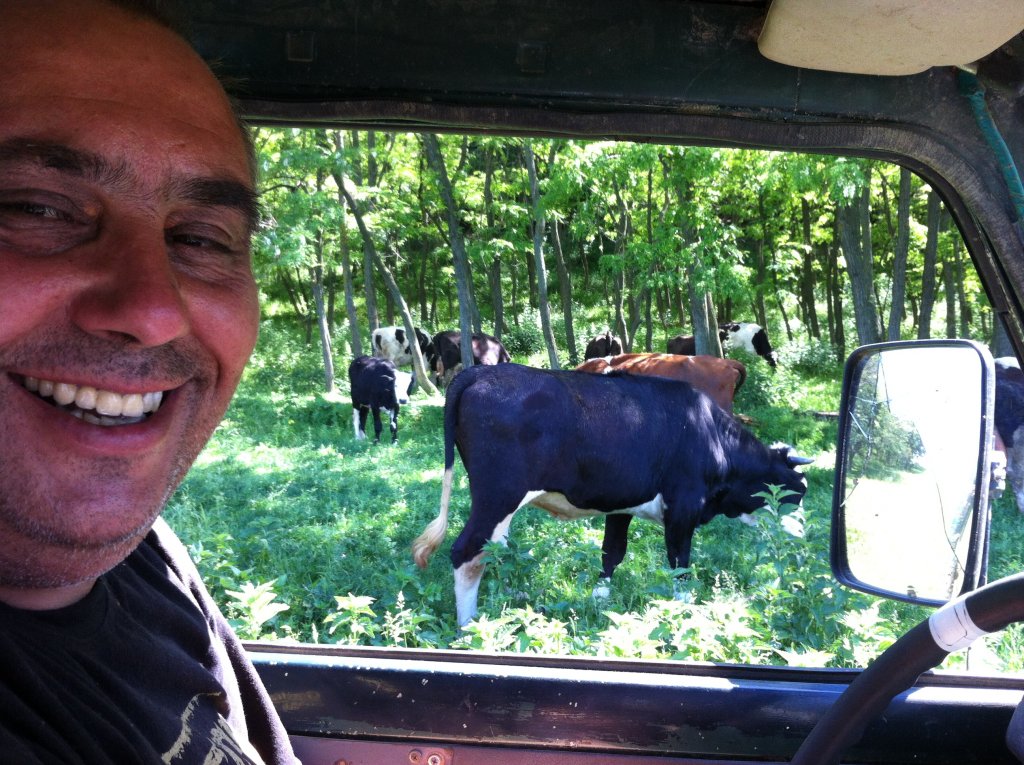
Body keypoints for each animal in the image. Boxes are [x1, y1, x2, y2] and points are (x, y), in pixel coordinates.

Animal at [411, 363, 811, 626]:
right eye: (797, 493)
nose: (803, 536)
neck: (711, 436)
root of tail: (479, 372)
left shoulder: (622, 505)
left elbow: (612, 553)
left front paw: (598, 599)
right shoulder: (683, 507)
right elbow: (680, 566)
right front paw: (685, 613)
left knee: (492, 549)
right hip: (498, 495)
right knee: (467, 553)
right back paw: (470, 627)